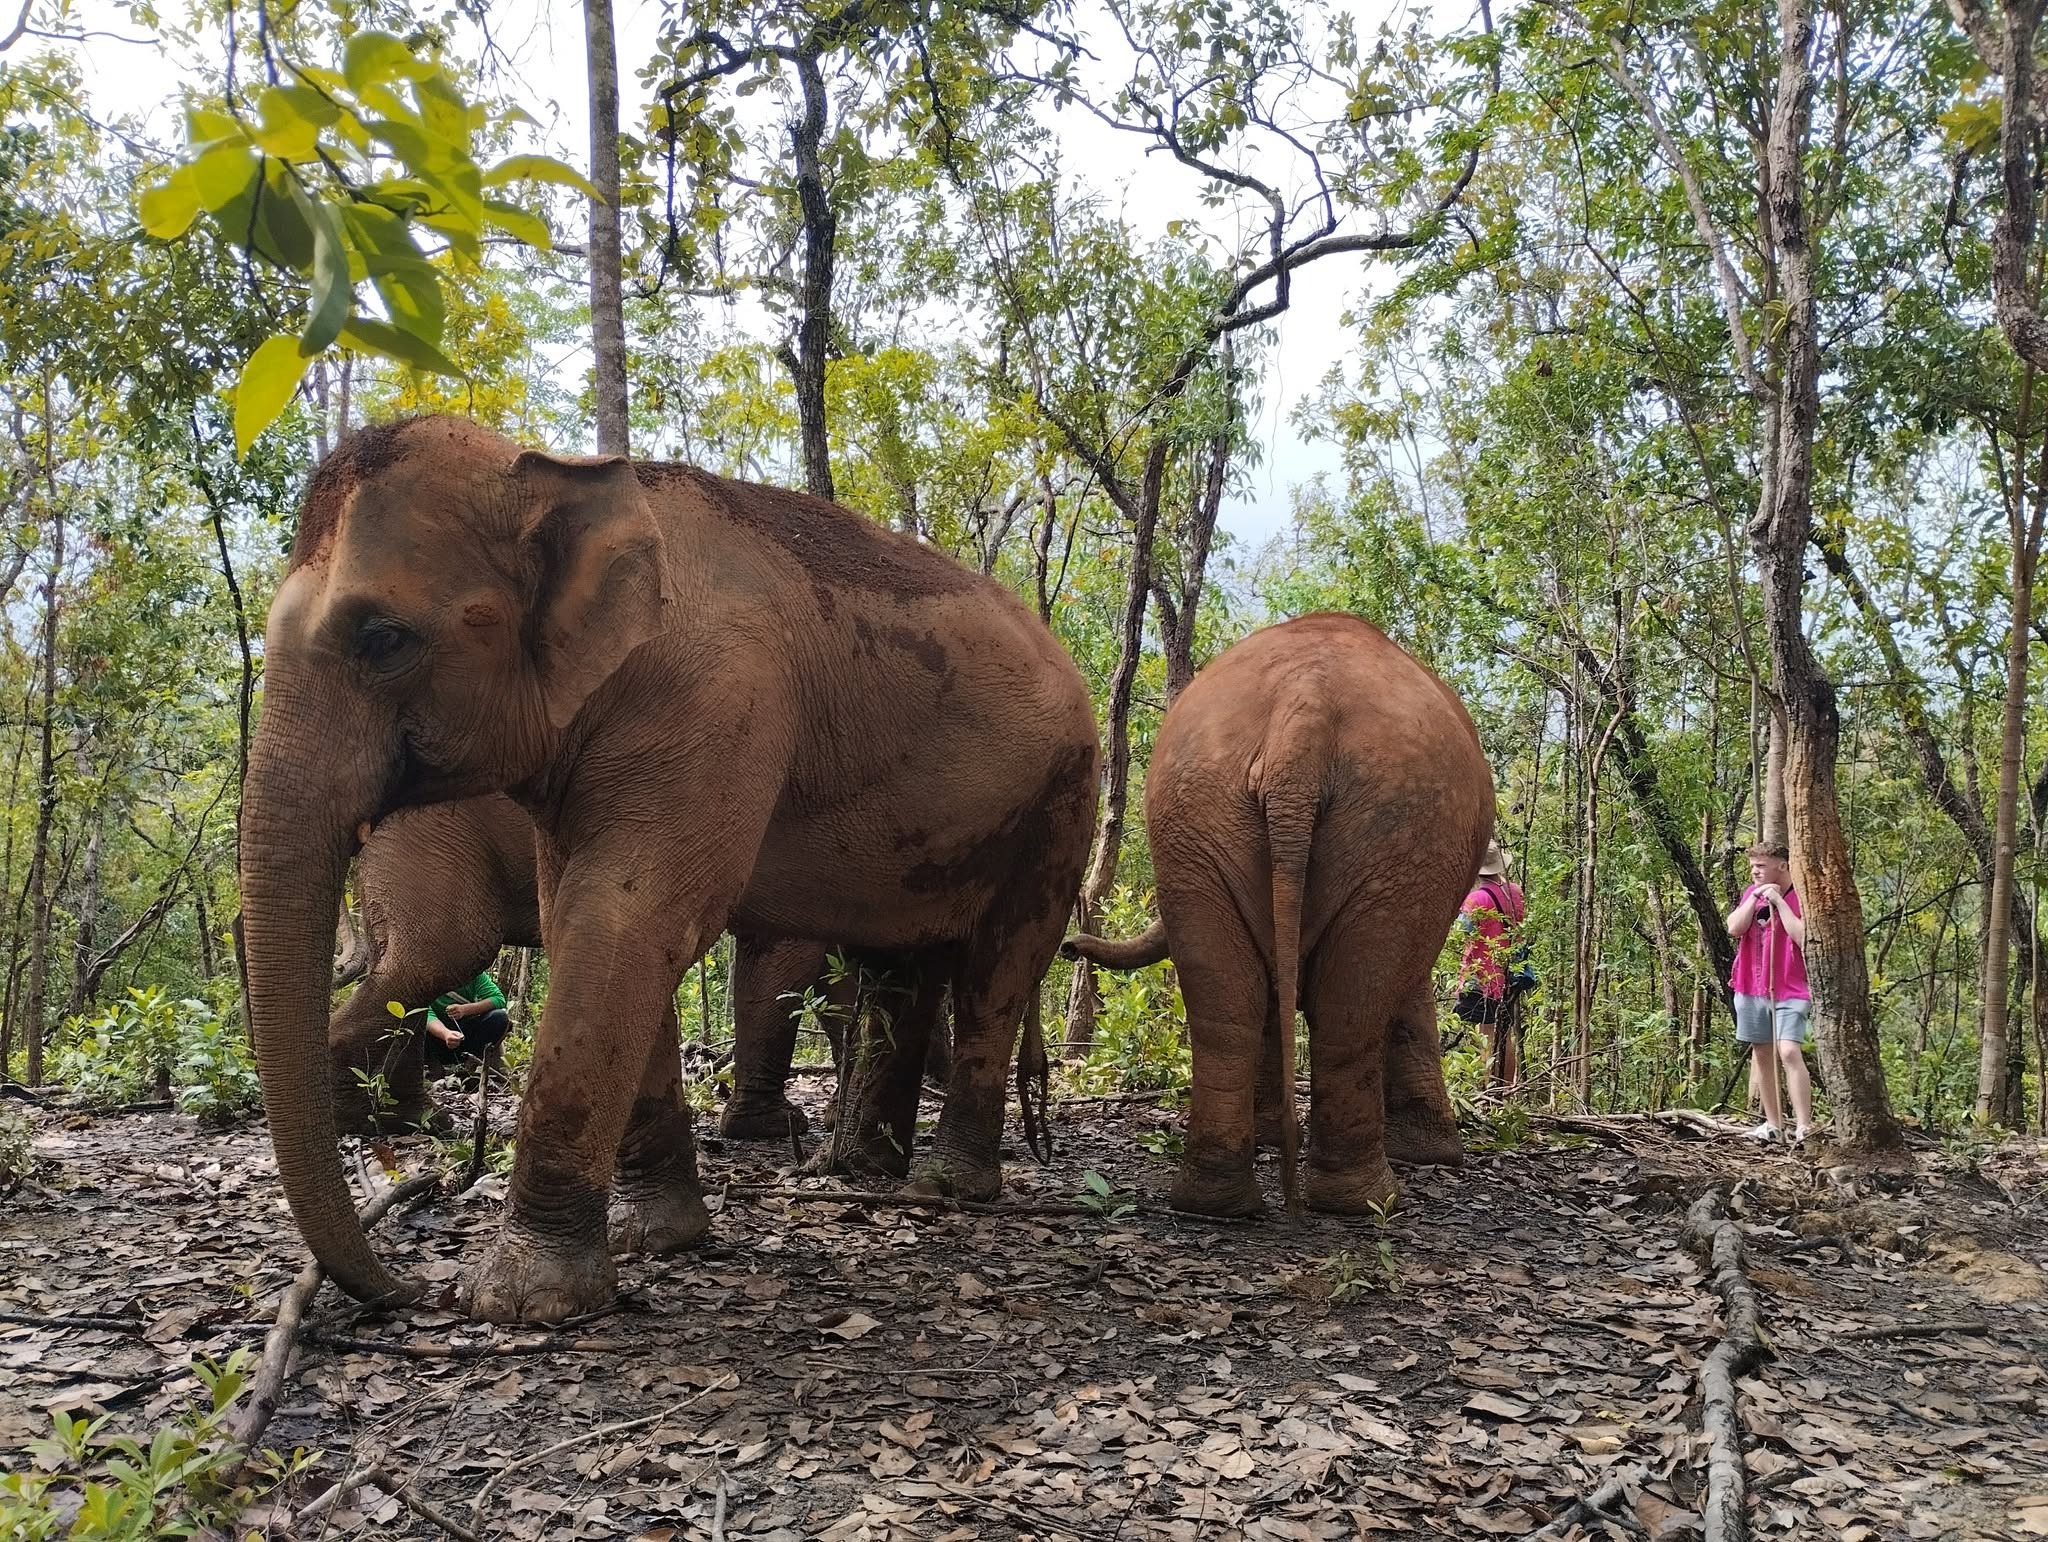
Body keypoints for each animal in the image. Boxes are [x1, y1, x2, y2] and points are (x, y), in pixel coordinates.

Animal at [326, 793, 948, 1141]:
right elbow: (789, 965)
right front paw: (774, 1129)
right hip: (431, 841)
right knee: (440, 957)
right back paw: (366, 1120)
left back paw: (417, 1122)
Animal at [1063, 613, 1491, 1219]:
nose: (1069, 946)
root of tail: (1303, 716)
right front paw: (1432, 1156)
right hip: (1406, 833)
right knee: (1350, 1009)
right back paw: (1368, 1201)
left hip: (1197, 821)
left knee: (1228, 1006)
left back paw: (1216, 1202)